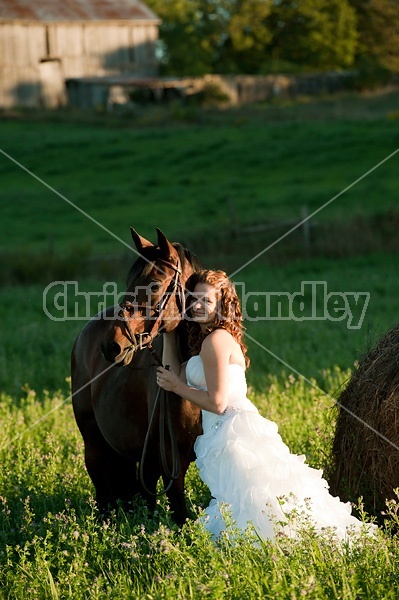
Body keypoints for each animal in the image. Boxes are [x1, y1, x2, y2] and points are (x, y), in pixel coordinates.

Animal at [70, 227, 203, 524]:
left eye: (154, 285)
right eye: (128, 281)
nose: (111, 346)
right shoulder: (171, 463)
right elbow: (180, 516)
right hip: (95, 447)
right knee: (104, 496)